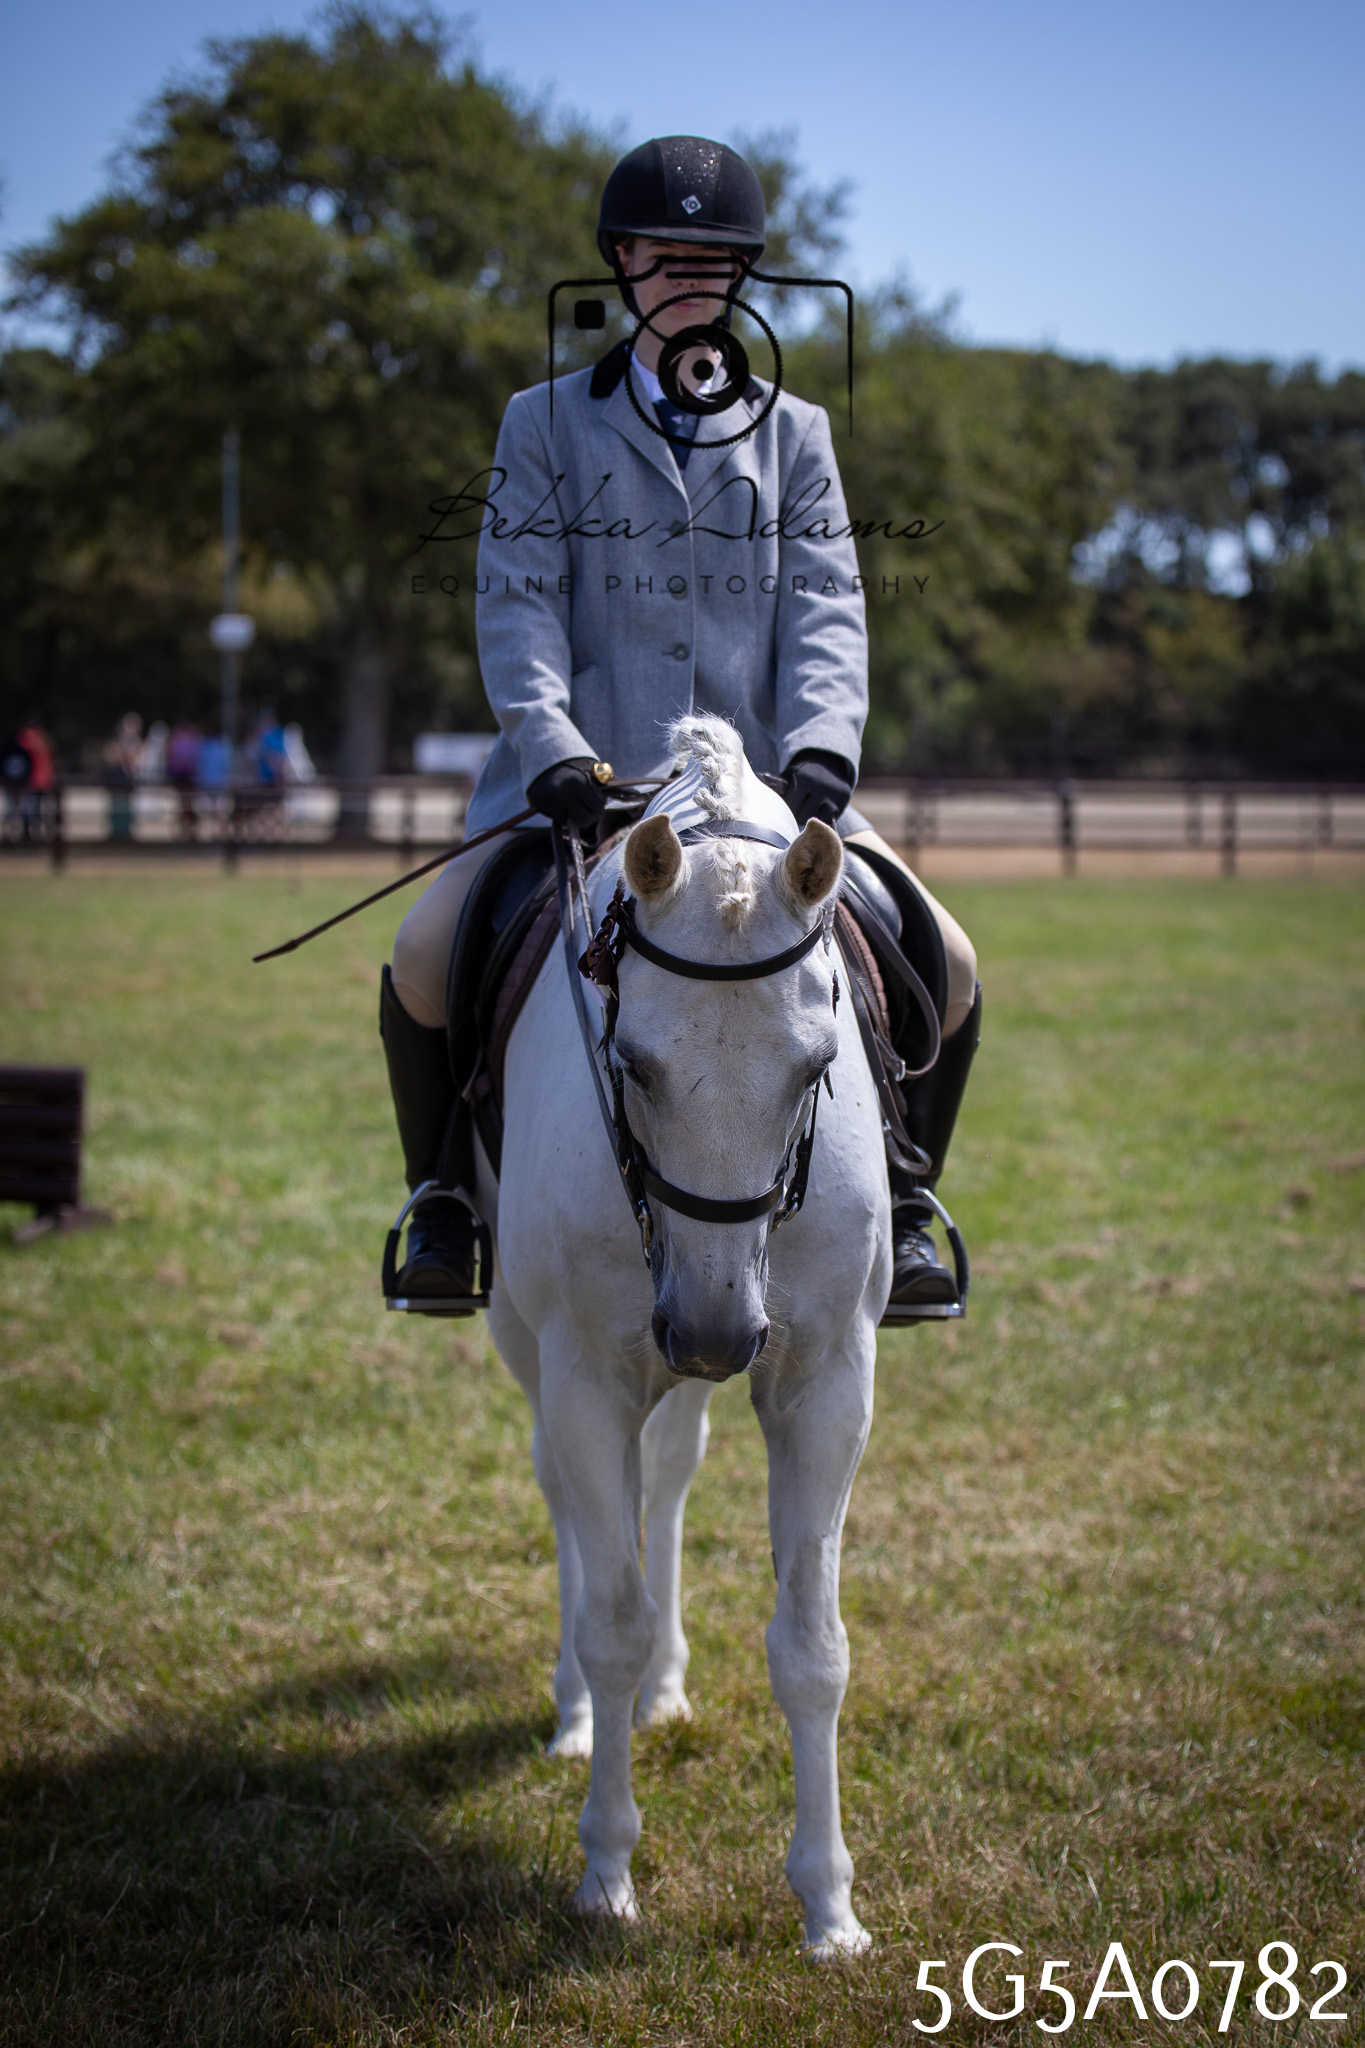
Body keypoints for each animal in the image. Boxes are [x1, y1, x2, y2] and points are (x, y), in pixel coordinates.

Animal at [474, 716, 890, 1959]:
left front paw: (829, 1906)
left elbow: (813, 1646)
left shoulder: (825, 1380)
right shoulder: (587, 1375)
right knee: (572, 1506)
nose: (710, 1327)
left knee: (666, 1476)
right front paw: (606, 1872)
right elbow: (607, 1614)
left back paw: (664, 1686)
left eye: (817, 1066)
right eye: (634, 1064)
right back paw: (579, 1710)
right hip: (542, 1346)